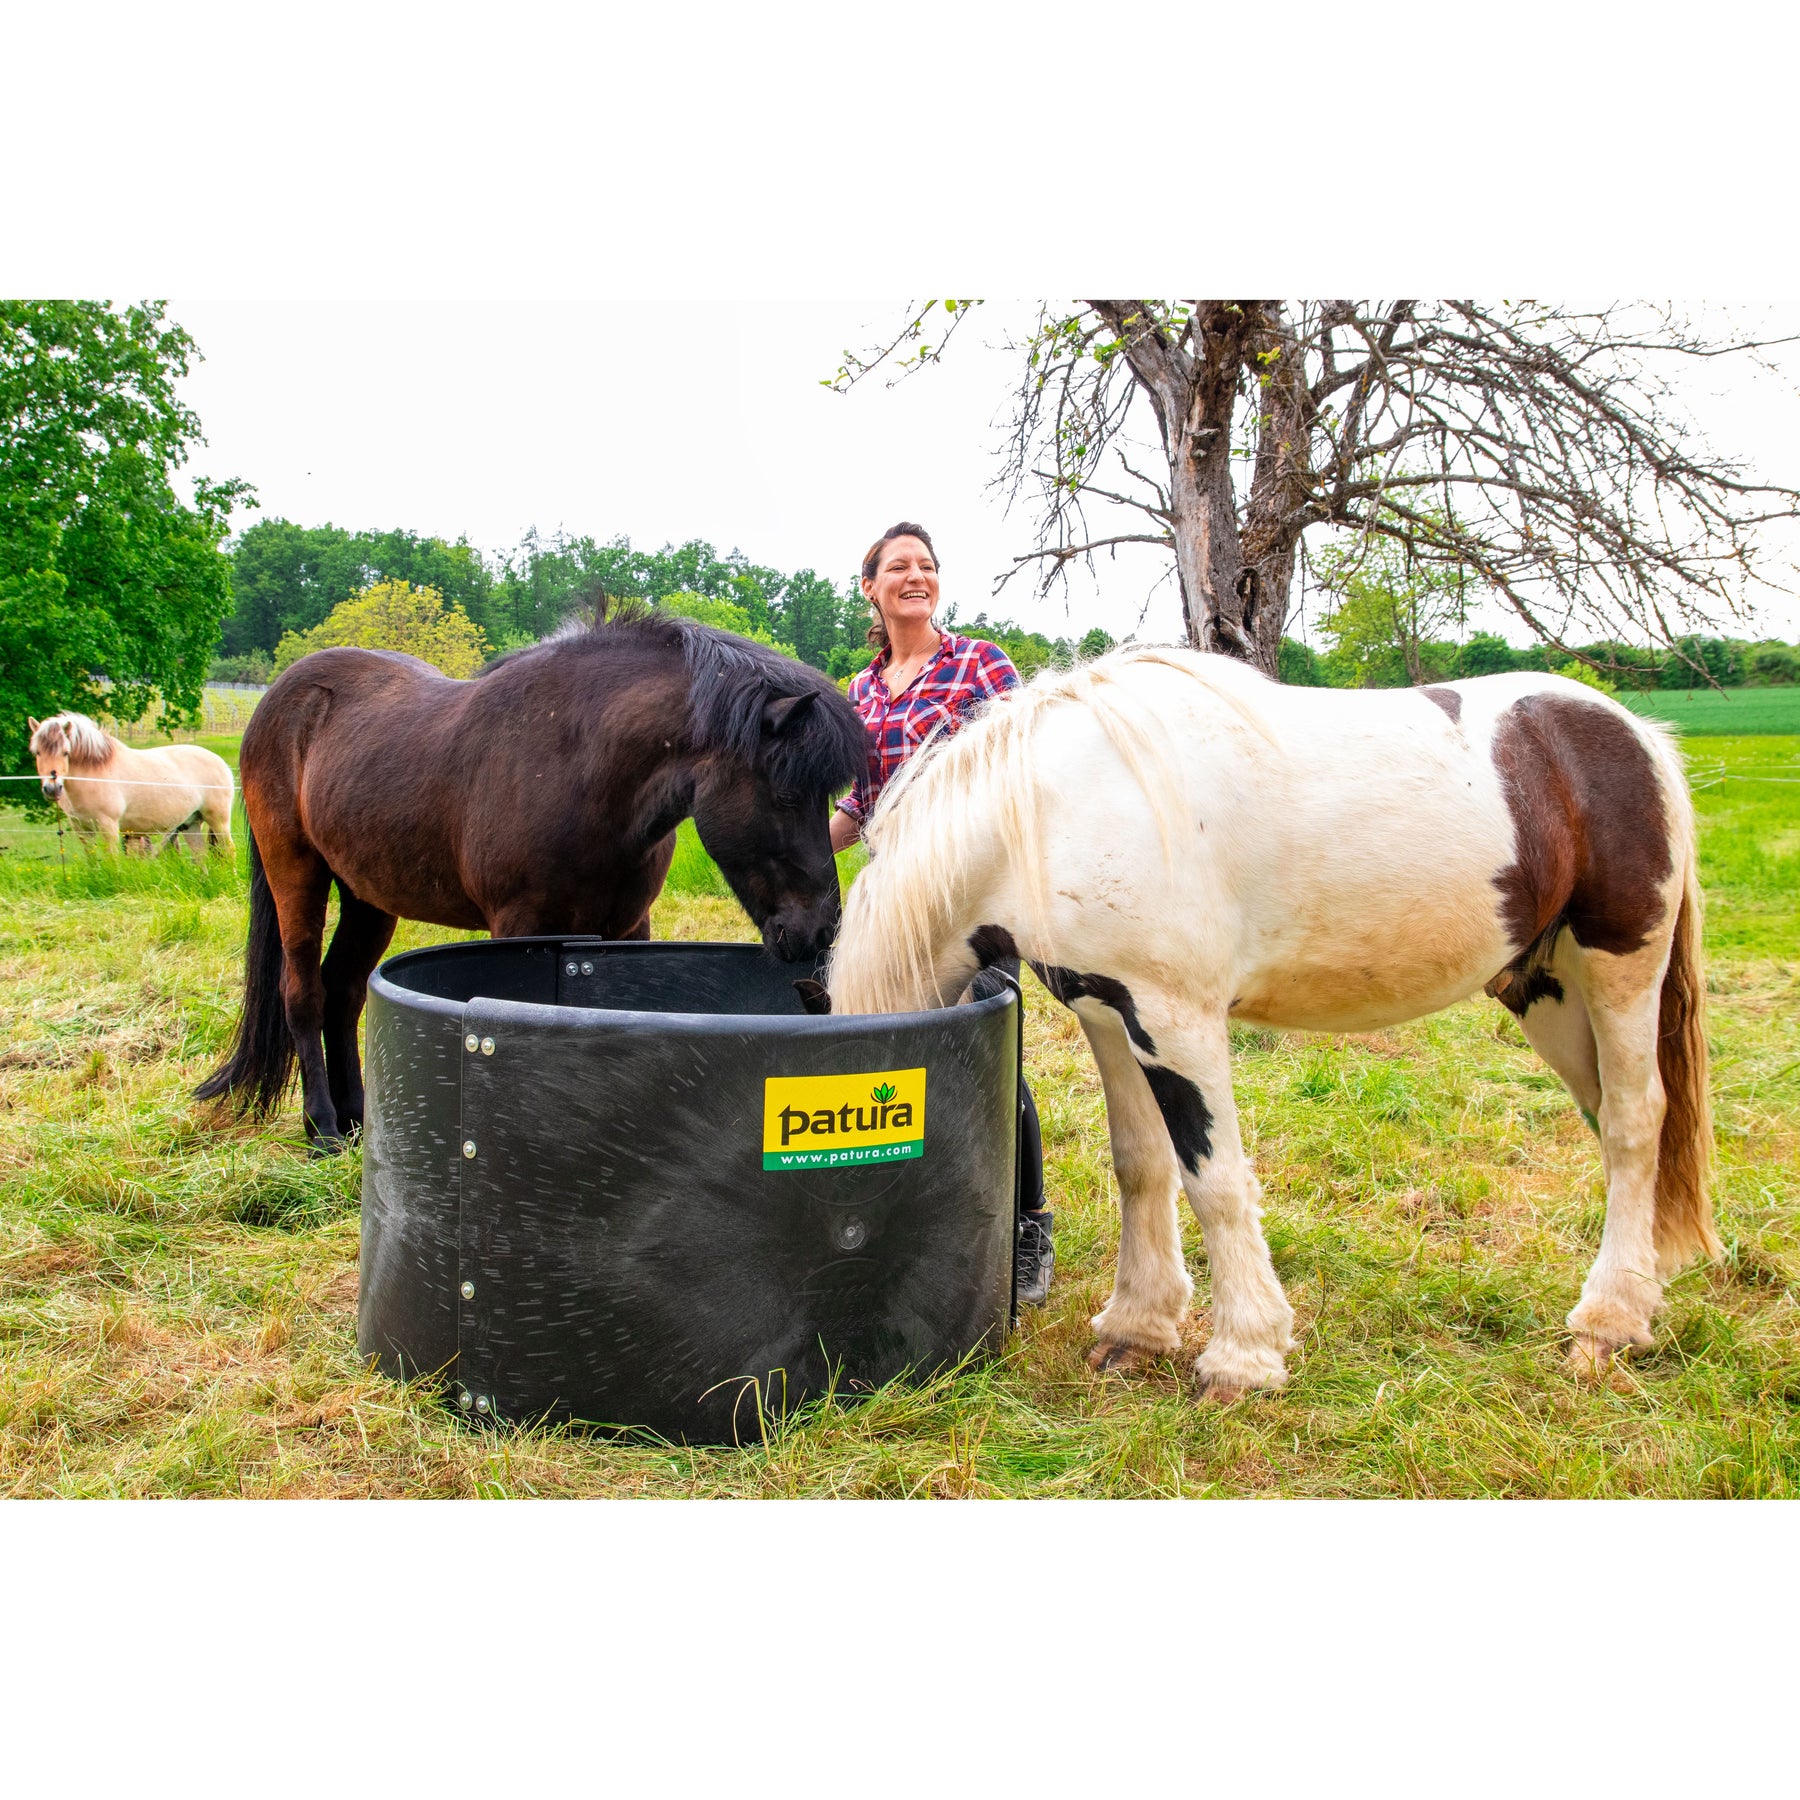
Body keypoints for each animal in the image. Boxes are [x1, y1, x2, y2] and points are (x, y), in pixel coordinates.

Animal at [28, 712, 235, 856]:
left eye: (65, 752)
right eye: (37, 752)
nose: (52, 789)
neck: (93, 775)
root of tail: (221, 763)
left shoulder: (109, 826)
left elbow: (112, 860)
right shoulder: (83, 829)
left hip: (218, 819)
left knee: (229, 850)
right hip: (190, 823)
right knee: (200, 855)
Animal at [197, 611, 868, 1151]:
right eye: (786, 794)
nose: (820, 930)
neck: (583, 768)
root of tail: (282, 697)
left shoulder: (630, 926)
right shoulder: (520, 925)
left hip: (367, 895)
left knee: (344, 992)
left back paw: (359, 1119)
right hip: (296, 871)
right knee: (304, 994)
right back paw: (323, 1129)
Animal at [827, 647, 1717, 1398]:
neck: (1052, 807)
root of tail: (1635, 732)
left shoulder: (1178, 1021)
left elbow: (1214, 1181)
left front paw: (1243, 1358)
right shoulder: (1110, 1015)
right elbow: (1141, 1166)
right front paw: (1137, 1328)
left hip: (1618, 968)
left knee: (1636, 1122)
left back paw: (1607, 1323)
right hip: (1548, 992)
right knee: (1610, 1124)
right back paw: (1638, 1300)